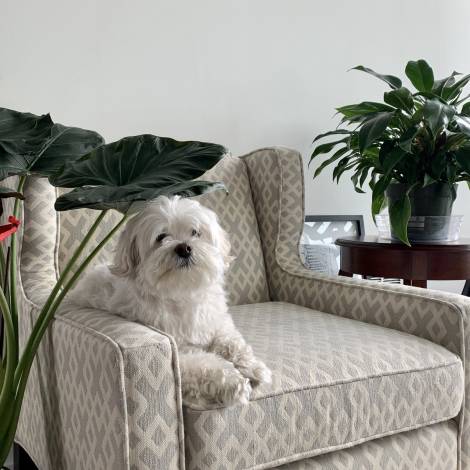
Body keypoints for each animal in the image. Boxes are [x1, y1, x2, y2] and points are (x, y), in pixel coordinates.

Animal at [66, 196, 272, 409]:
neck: (181, 290)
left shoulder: (217, 324)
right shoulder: (179, 353)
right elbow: (205, 364)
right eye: (161, 237)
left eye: (195, 232)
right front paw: (233, 382)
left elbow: (233, 343)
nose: (184, 247)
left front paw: (253, 366)